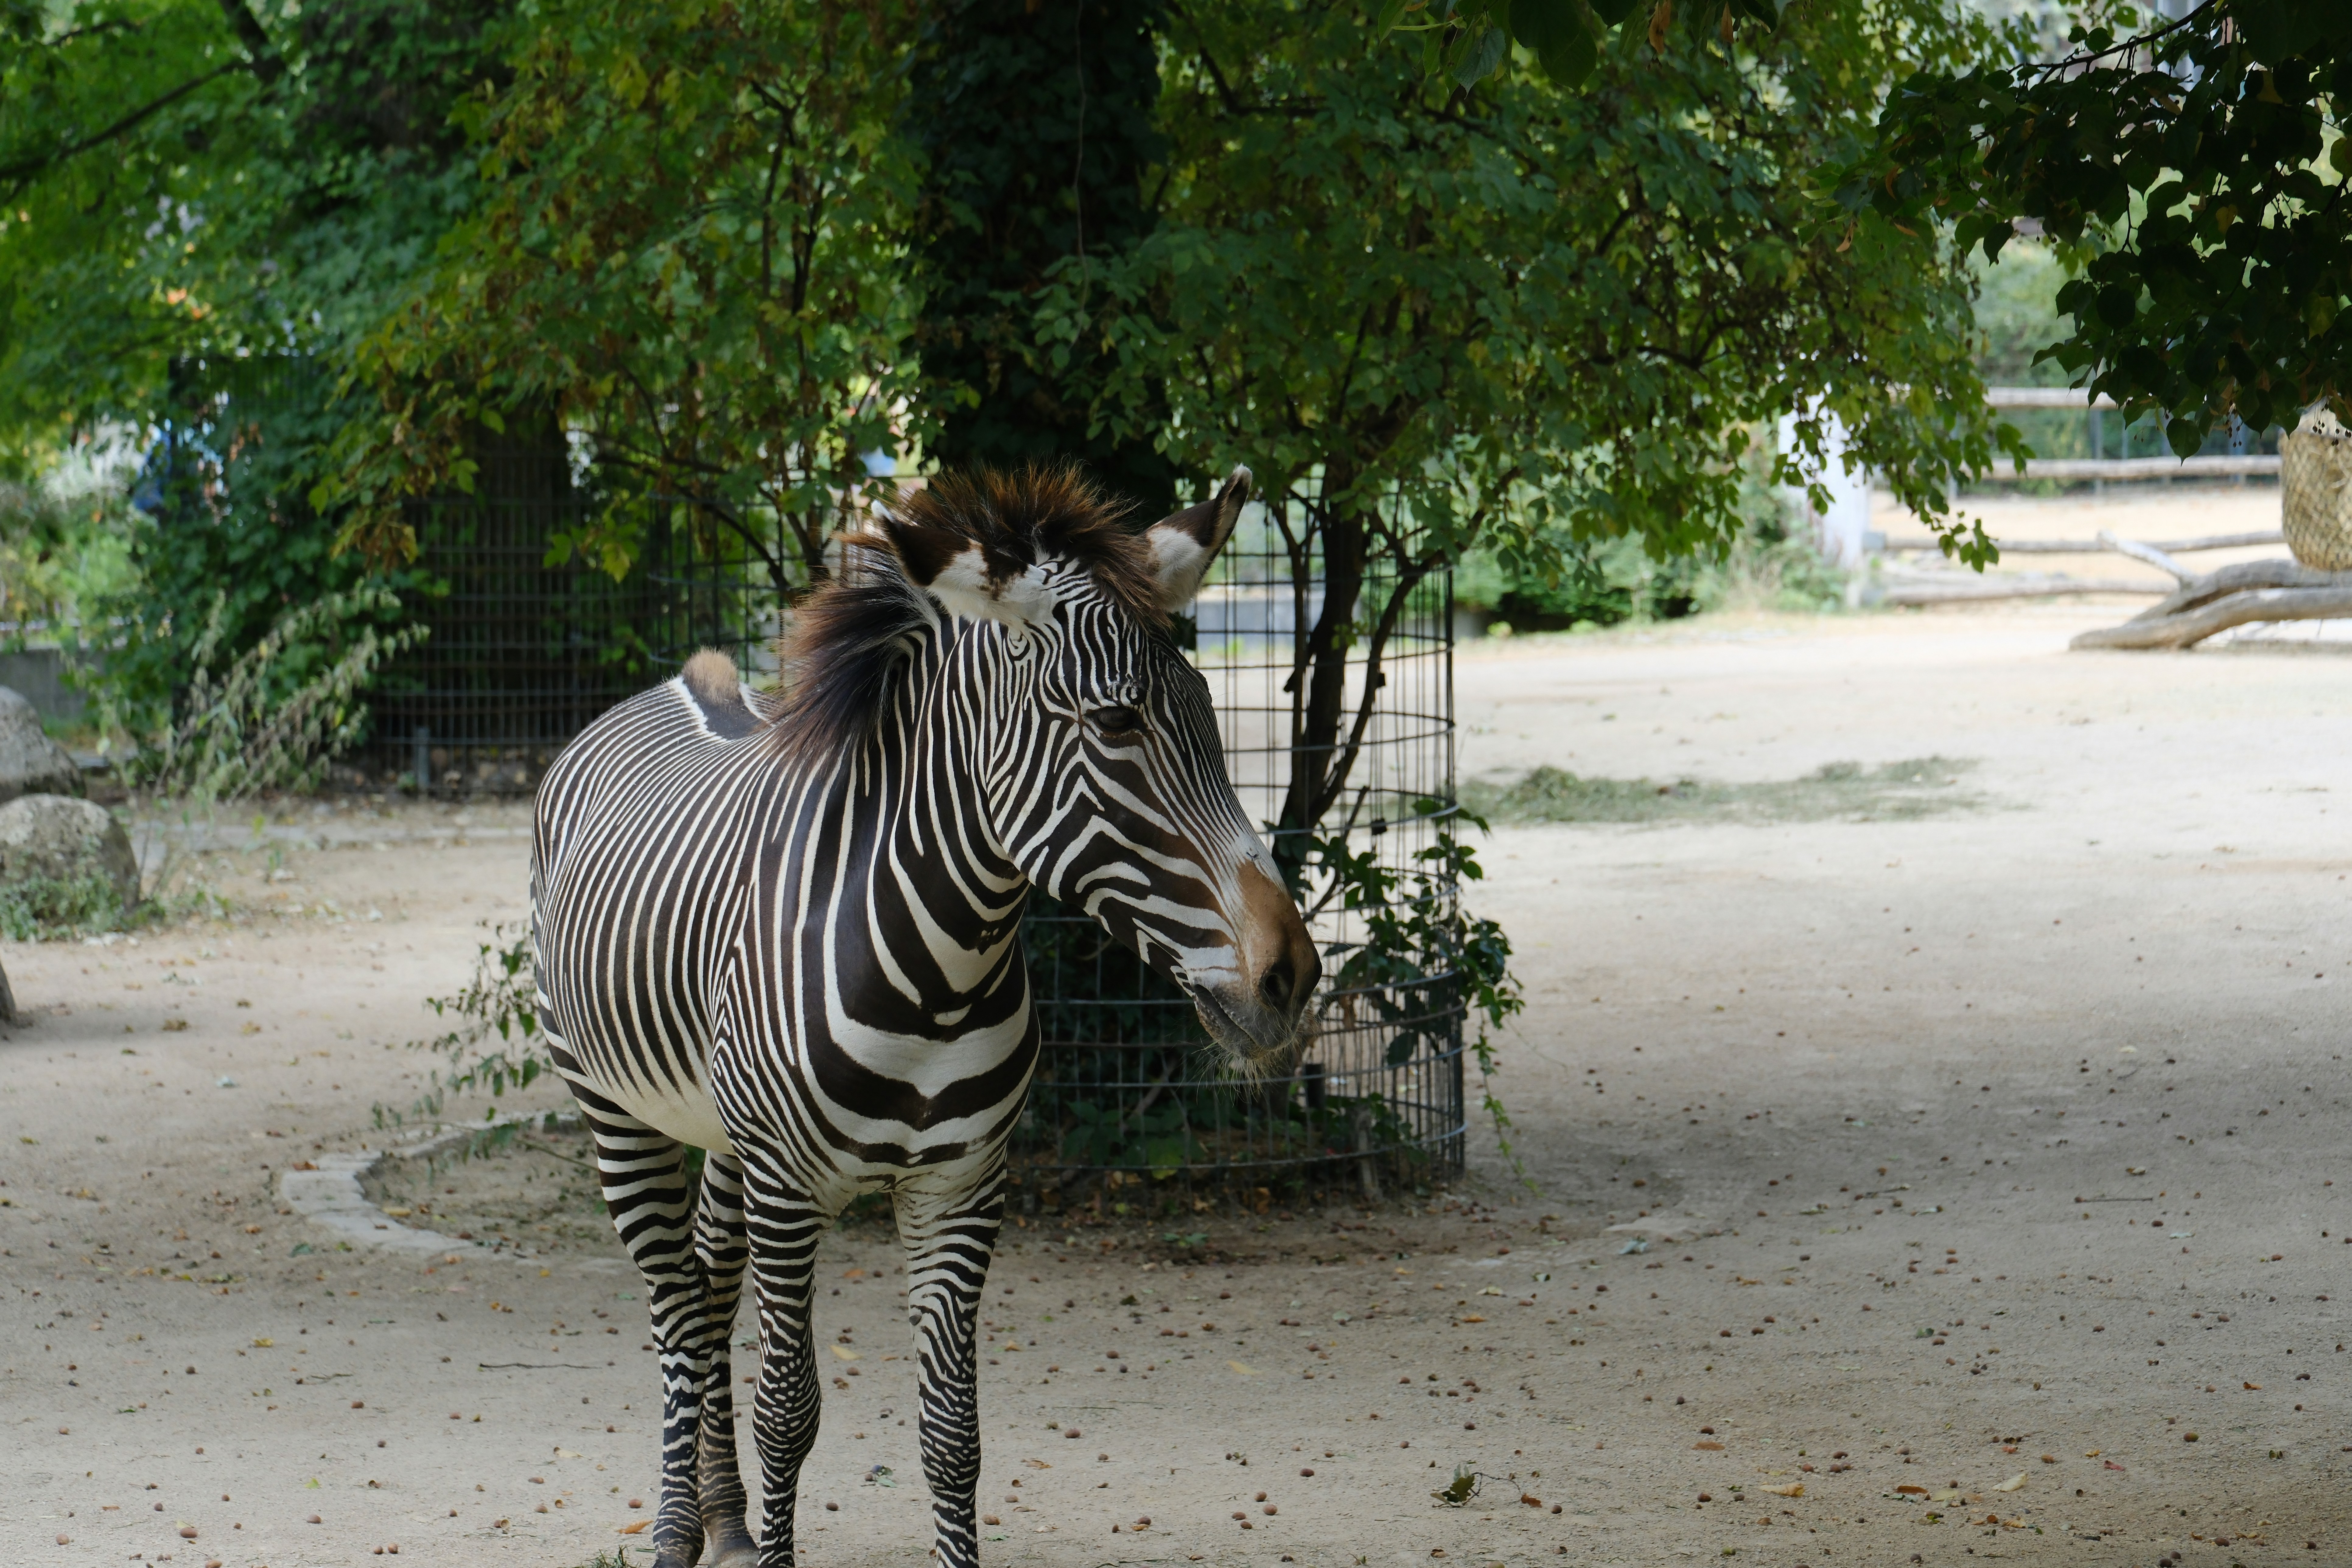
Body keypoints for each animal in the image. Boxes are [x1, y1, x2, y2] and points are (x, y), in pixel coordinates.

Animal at [531, 464, 1319, 1568]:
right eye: (1117, 723)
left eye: (1208, 707)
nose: (1289, 976)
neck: (937, 979)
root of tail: (676, 685)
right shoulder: (790, 1186)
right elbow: (790, 1412)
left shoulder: (963, 1185)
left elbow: (953, 1433)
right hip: (616, 1113)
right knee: (676, 1308)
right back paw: (679, 1529)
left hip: (721, 1131)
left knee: (712, 1283)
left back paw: (725, 1521)